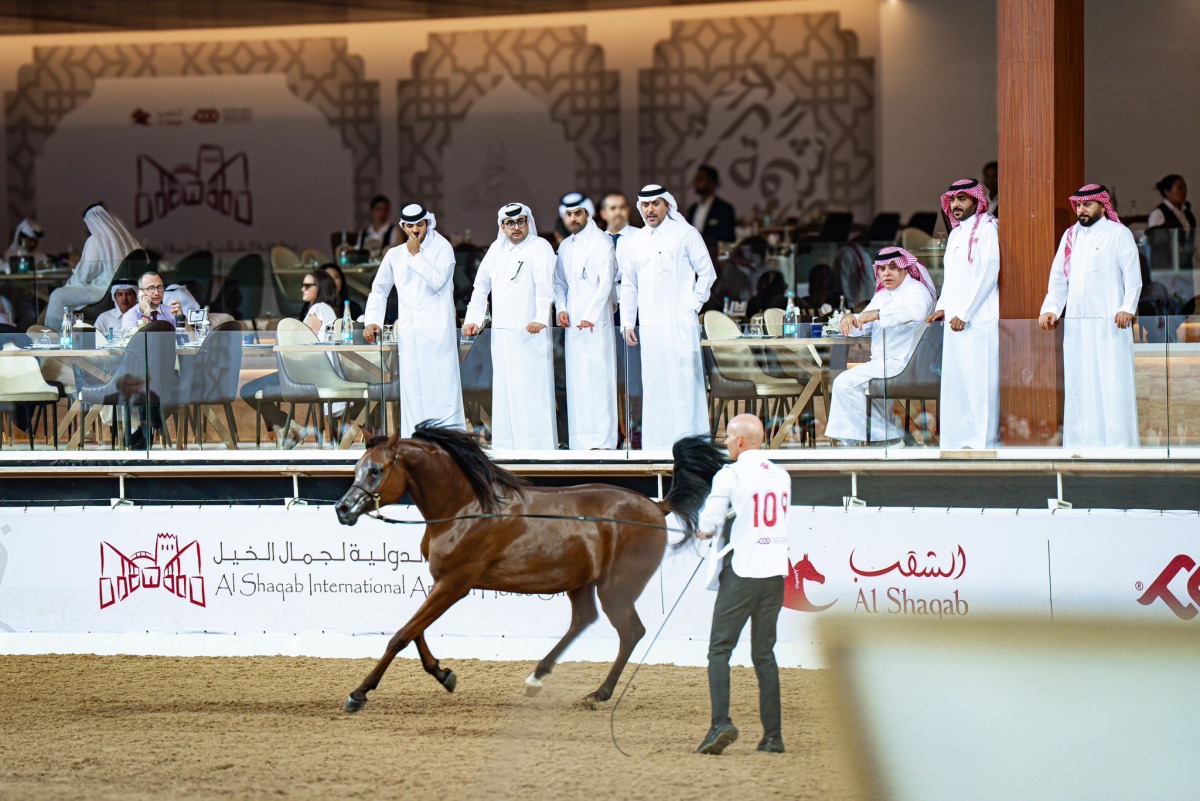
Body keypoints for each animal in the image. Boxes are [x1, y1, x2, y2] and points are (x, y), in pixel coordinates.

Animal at [334, 423, 725, 713]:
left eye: (376, 470)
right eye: (356, 468)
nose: (342, 509)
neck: (465, 509)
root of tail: (657, 506)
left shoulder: (455, 584)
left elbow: (401, 635)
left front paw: (358, 694)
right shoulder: (441, 584)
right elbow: (416, 631)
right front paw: (444, 674)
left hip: (616, 587)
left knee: (631, 632)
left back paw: (598, 694)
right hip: (581, 583)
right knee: (584, 621)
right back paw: (536, 680)